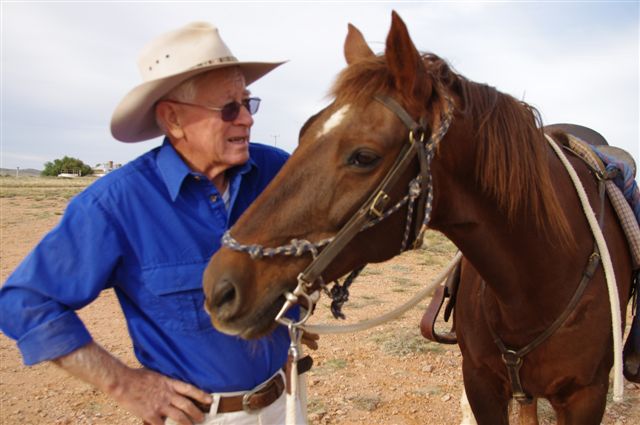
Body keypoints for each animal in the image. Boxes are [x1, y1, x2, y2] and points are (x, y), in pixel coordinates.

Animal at [202, 11, 632, 422]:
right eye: (304, 132)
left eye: (364, 156)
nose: (219, 288)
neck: (538, 282)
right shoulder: (481, 384)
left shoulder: (586, 397)